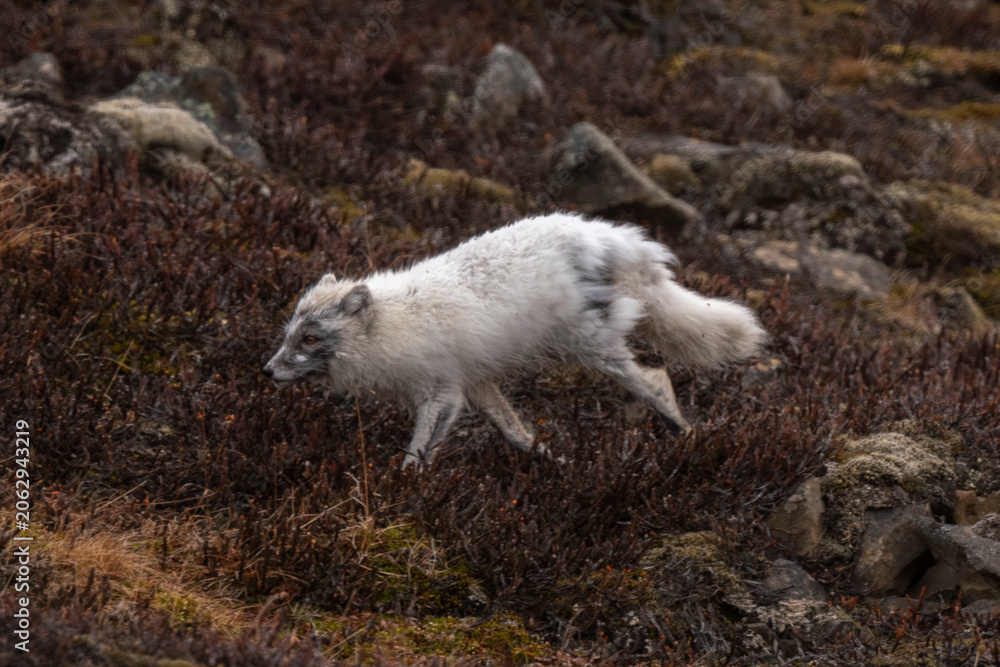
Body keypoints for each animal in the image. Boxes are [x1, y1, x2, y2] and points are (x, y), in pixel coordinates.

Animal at [263, 213, 766, 468]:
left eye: (310, 338)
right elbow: (516, 432)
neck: (393, 323)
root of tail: (616, 240)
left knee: (657, 380)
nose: (267, 371)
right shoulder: (474, 383)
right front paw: (554, 462)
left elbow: (418, 451)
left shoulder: (441, 392)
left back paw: (685, 434)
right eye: (289, 334)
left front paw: (404, 493)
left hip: (593, 348)